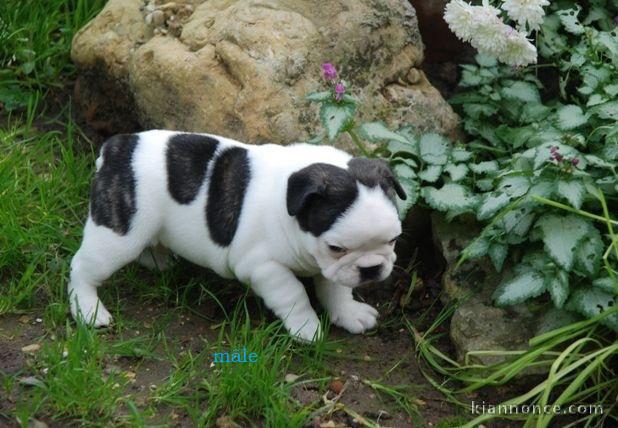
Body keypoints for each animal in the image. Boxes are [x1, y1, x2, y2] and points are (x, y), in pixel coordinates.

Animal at [68, 130, 404, 342]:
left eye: (392, 240)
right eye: (336, 247)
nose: (372, 269)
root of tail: (119, 147)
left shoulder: (333, 269)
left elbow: (337, 289)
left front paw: (348, 313)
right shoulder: (263, 267)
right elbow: (293, 293)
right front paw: (306, 326)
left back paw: (159, 260)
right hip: (118, 236)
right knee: (82, 268)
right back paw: (88, 309)